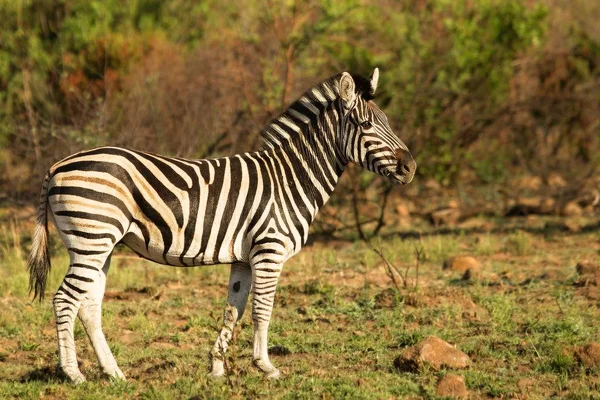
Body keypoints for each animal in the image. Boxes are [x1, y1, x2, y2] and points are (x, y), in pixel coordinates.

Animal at [28, 69, 418, 382]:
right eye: (366, 126)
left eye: (388, 122)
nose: (411, 168)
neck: (289, 178)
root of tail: (58, 165)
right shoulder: (269, 250)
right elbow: (263, 309)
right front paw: (266, 367)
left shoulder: (244, 258)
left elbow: (234, 309)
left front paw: (216, 367)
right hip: (92, 237)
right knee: (65, 300)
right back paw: (74, 374)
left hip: (99, 244)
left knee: (89, 306)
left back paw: (114, 373)